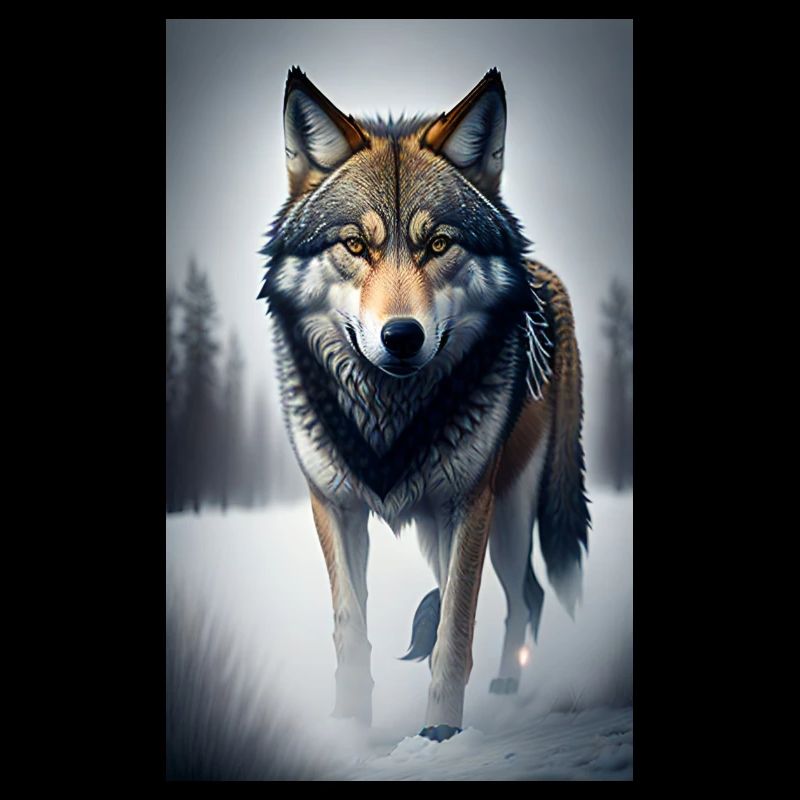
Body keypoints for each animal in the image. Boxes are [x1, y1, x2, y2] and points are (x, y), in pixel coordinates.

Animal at [258, 67, 590, 741]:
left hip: (505, 512)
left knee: (527, 594)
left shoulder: (469, 503)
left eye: (437, 244)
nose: (402, 336)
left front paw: (440, 735)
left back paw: (508, 686)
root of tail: (547, 276)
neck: (390, 414)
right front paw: (350, 730)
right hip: (447, 528)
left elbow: (455, 633)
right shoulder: (334, 505)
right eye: (355, 245)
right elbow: (351, 629)